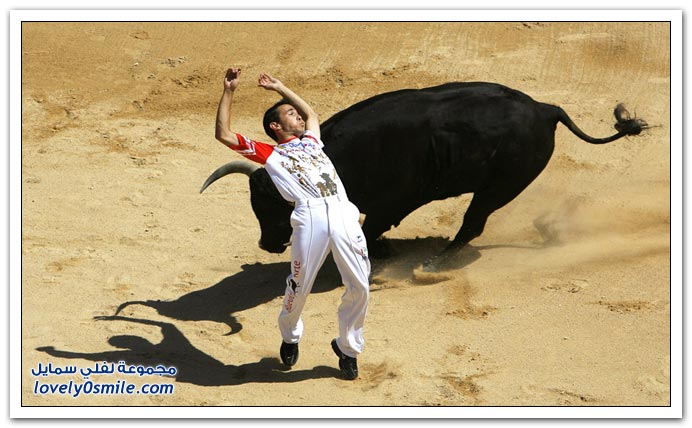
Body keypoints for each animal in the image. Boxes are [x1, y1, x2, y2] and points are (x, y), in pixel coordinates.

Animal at [200, 82, 648, 260]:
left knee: (473, 222)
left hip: (502, 185)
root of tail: (545, 109)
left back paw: (436, 262)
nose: (266, 245)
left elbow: (372, 227)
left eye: (273, 204)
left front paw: (380, 253)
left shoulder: (392, 203)